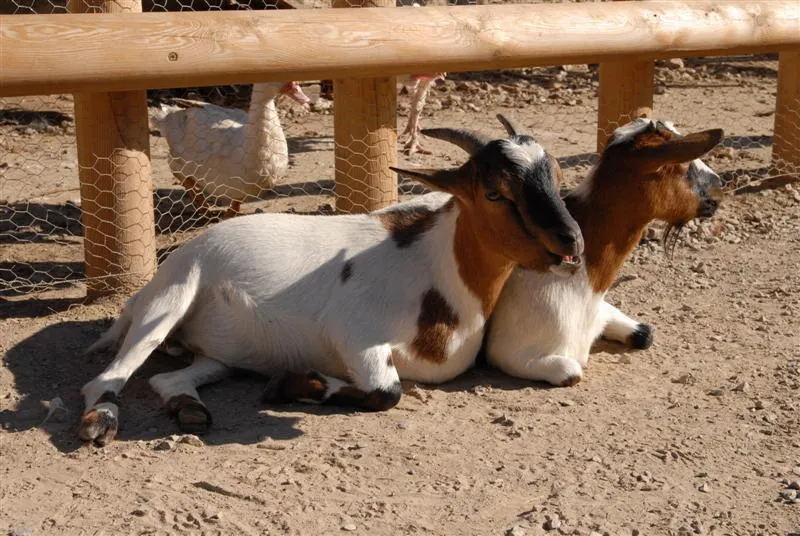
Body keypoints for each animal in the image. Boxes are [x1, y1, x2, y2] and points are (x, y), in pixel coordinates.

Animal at [79, 124, 580, 444]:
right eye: (495, 193)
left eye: (556, 178)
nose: (571, 242)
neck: (434, 268)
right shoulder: (355, 335)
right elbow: (387, 393)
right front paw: (296, 384)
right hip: (168, 304)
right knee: (104, 378)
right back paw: (99, 422)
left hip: (218, 356)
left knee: (169, 378)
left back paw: (189, 409)